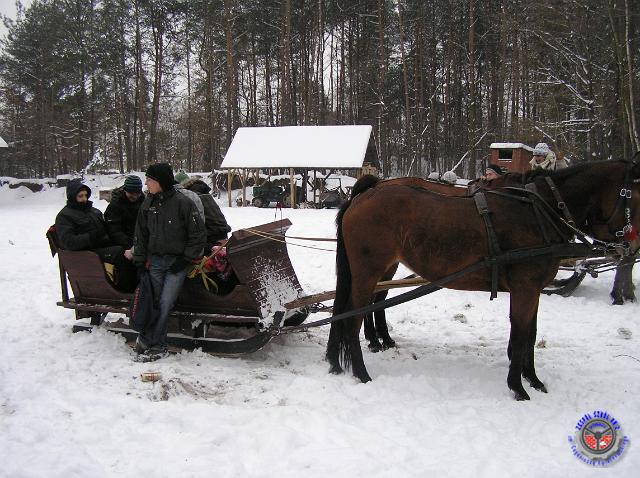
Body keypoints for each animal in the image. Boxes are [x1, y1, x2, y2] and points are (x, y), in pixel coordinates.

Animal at [324, 160, 640, 400]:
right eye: (635, 197)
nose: (631, 247)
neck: (538, 211)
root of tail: (365, 193)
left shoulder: (534, 289)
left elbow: (531, 334)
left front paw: (533, 379)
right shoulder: (525, 288)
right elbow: (521, 334)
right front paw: (518, 387)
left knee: (360, 308)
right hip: (368, 271)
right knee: (353, 318)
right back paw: (362, 372)